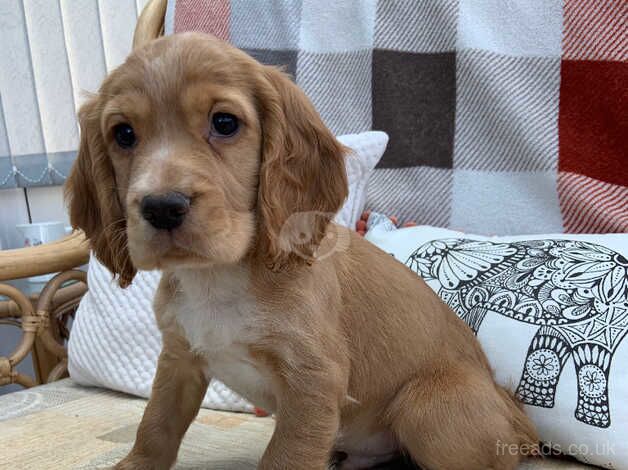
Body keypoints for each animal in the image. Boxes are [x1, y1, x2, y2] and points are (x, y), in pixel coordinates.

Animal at [63, 33, 536, 470]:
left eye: (225, 122)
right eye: (124, 134)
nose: (162, 207)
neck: (220, 275)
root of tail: (517, 419)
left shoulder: (313, 382)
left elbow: (285, 456)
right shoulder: (179, 359)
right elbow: (155, 425)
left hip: (425, 406)